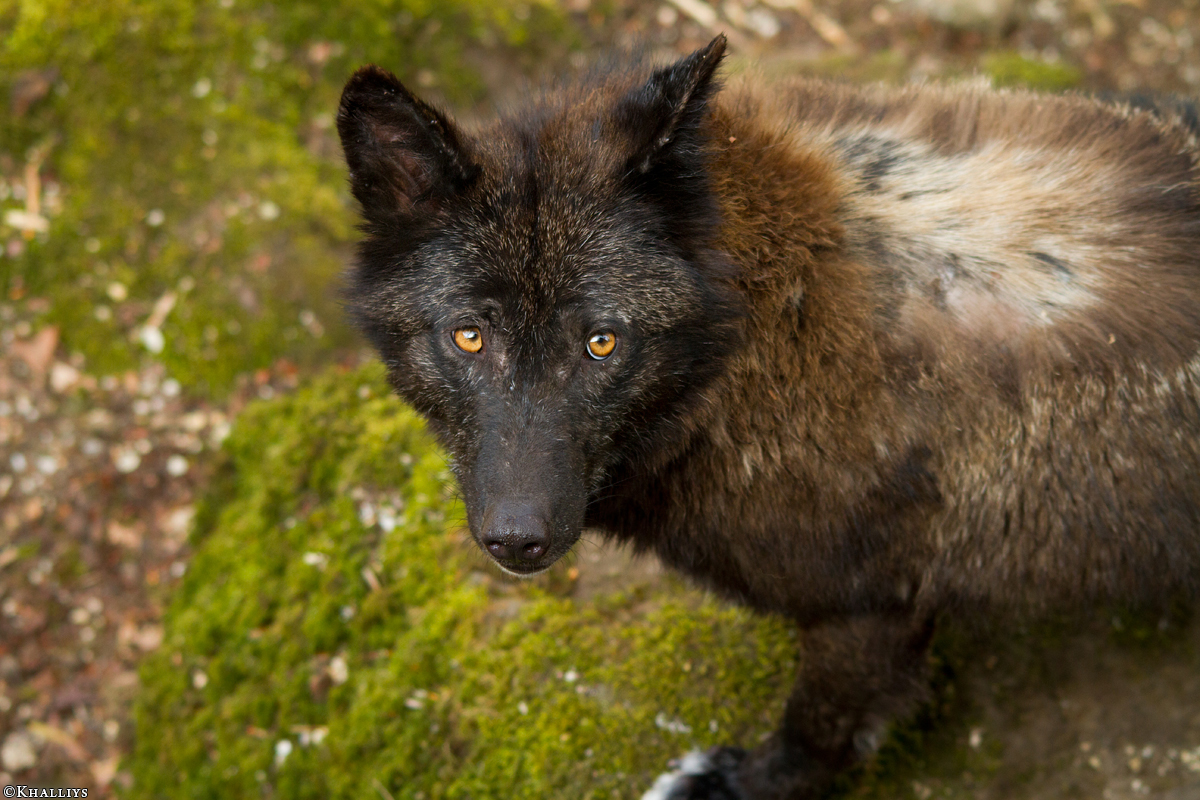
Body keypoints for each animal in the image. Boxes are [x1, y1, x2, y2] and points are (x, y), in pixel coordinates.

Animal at [336, 36, 1200, 800]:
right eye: (468, 335)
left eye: (601, 341)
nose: (519, 538)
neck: (758, 328)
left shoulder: (871, 613)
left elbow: (817, 739)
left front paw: (738, 786)